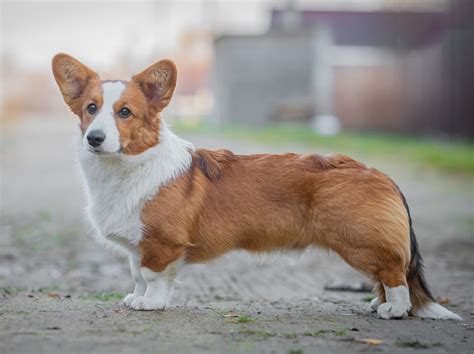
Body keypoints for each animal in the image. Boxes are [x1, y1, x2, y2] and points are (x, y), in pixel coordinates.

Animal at [52, 53, 462, 320]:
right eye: (90, 109)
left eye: (125, 112)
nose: (94, 138)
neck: (127, 166)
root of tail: (380, 173)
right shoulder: (139, 245)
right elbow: (137, 274)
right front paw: (134, 297)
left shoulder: (160, 244)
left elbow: (152, 276)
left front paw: (150, 303)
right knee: (384, 276)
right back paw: (378, 304)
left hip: (360, 241)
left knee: (394, 274)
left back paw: (395, 309)